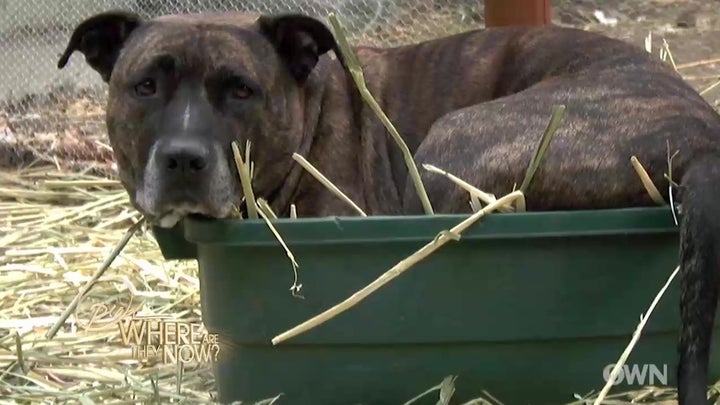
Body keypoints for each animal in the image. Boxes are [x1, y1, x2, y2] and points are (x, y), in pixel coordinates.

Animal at [59, 10, 720, 404]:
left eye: (242, 90)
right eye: (145, 86)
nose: (183, 158)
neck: (310, 112)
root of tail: (698, 138)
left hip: (453, 144)